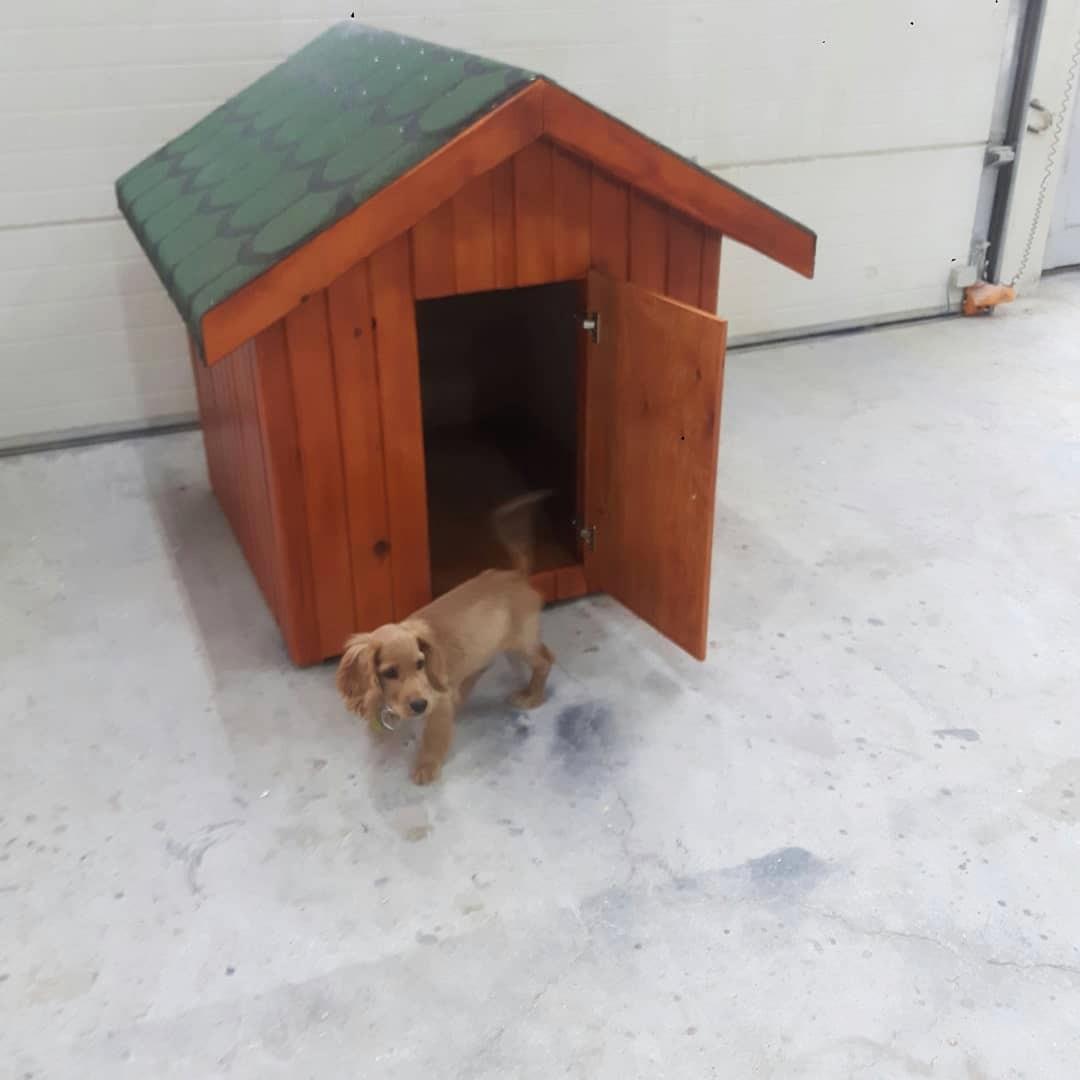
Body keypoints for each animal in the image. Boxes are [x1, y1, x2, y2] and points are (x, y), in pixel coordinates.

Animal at [335, 493, 555, 784]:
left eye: (420, 664)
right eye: (390, 672)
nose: (419, 705)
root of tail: (516, 575)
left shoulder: (437, 702)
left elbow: (433, 736)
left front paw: (426, 766)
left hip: (522, 643)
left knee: (545, 660)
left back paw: (532, 696)